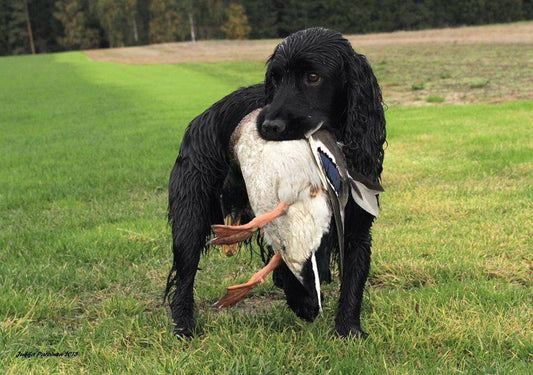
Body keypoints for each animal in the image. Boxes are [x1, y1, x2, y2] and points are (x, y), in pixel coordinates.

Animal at [164, 26, 384, 338]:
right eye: (275, 78)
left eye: (313, 77)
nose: (267, 126)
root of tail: (198, 121)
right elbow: (284, 253)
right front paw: (303, 301)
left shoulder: (356, 225)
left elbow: (354, 275)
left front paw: (348, 329)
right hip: (191, 217)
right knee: (185, 273)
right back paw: (183, 324)